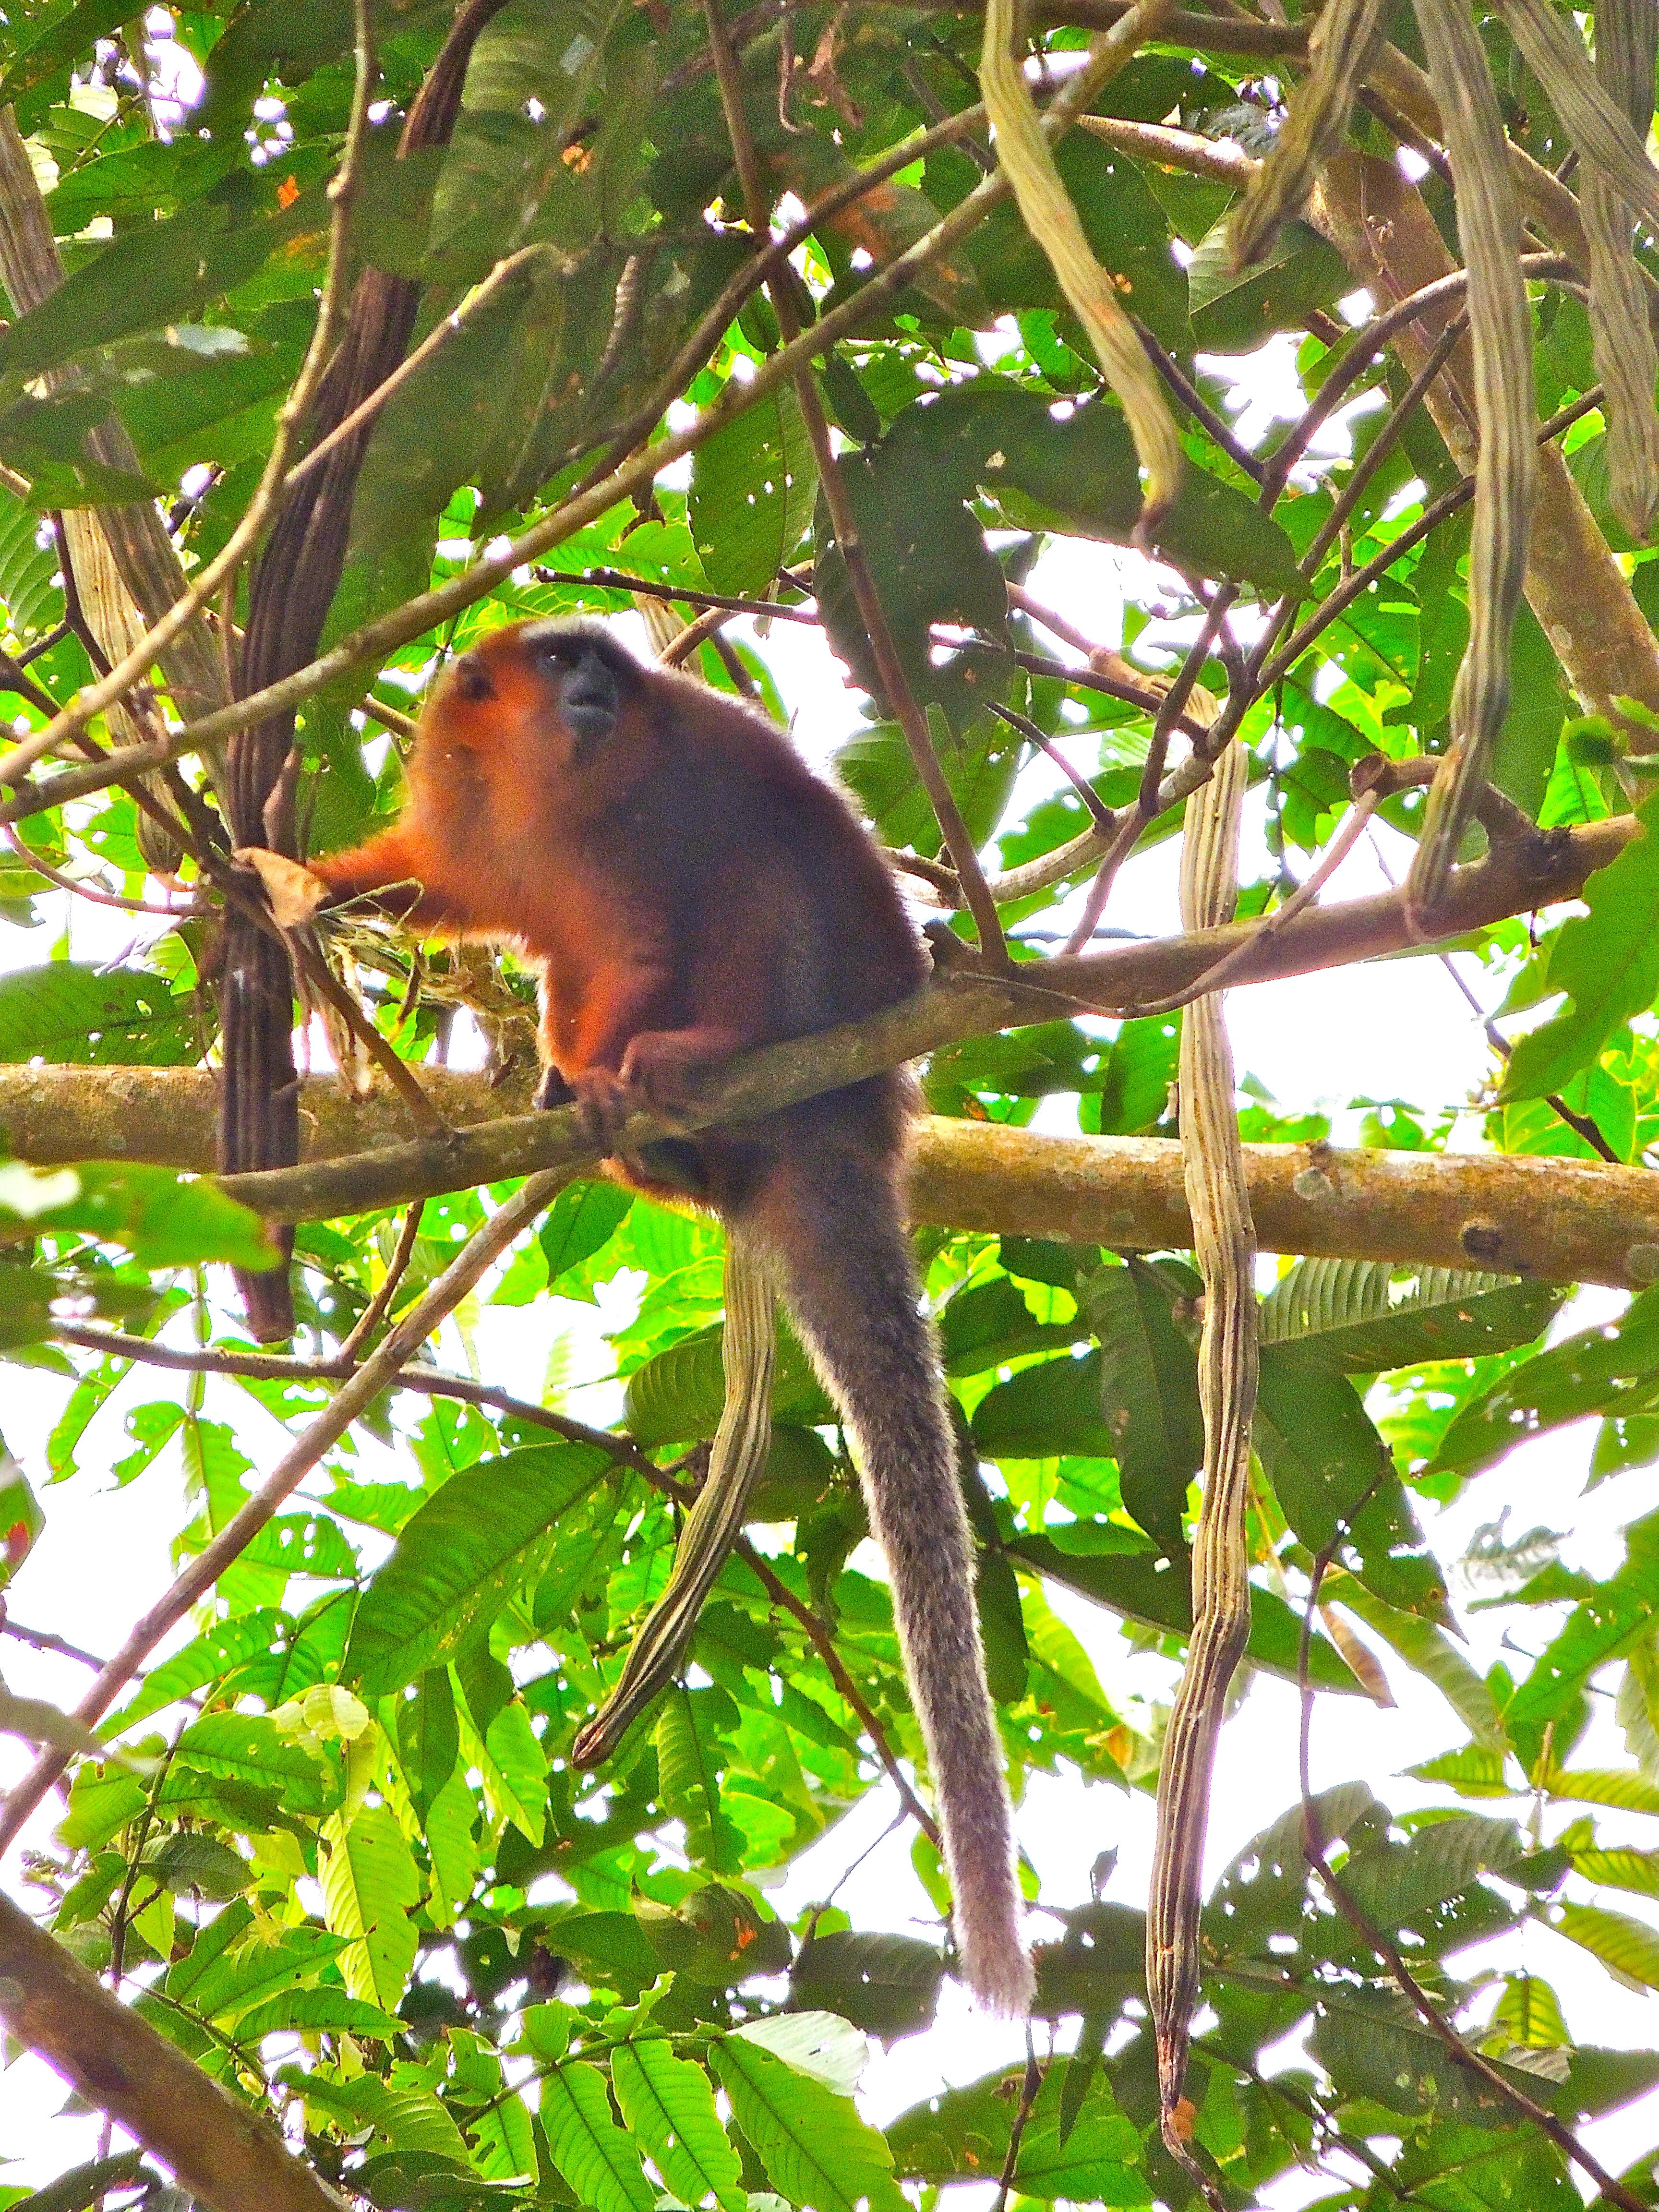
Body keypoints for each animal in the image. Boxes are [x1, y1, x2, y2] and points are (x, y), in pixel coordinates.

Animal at [312, 624, 1035, 2026]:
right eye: (556, 662)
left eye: (600, 666)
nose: (597, 687)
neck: (542, 790)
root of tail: (856, 1118)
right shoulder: (464, 821)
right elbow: (436, 890)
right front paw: (290, 894)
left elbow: (656, 933)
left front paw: (610, 1068)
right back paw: (653, 1147)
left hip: (833, 1010)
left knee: (763, 876)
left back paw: (689, 1064)